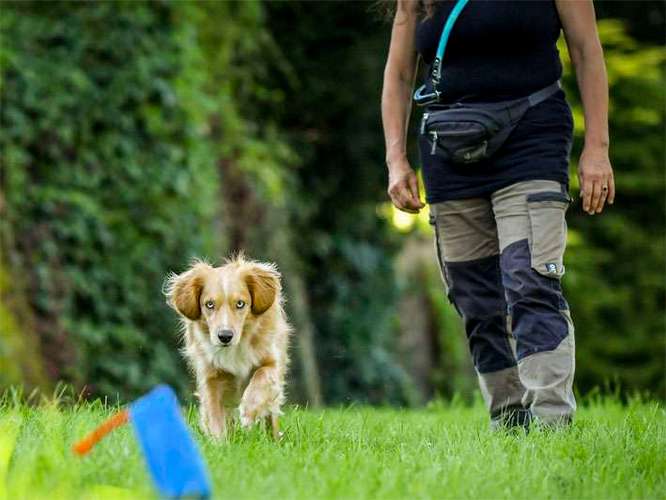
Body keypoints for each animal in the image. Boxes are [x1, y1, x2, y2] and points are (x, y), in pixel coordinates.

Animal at [165, 256, 290, 440]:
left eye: (240, 304)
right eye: (209, 304)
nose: (224, 336)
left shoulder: (271, 362)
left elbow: (262, 376)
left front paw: (249, 410)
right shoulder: (211, 378)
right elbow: (215, 414)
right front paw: (220, 443)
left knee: (271, 414)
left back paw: (273, 438)